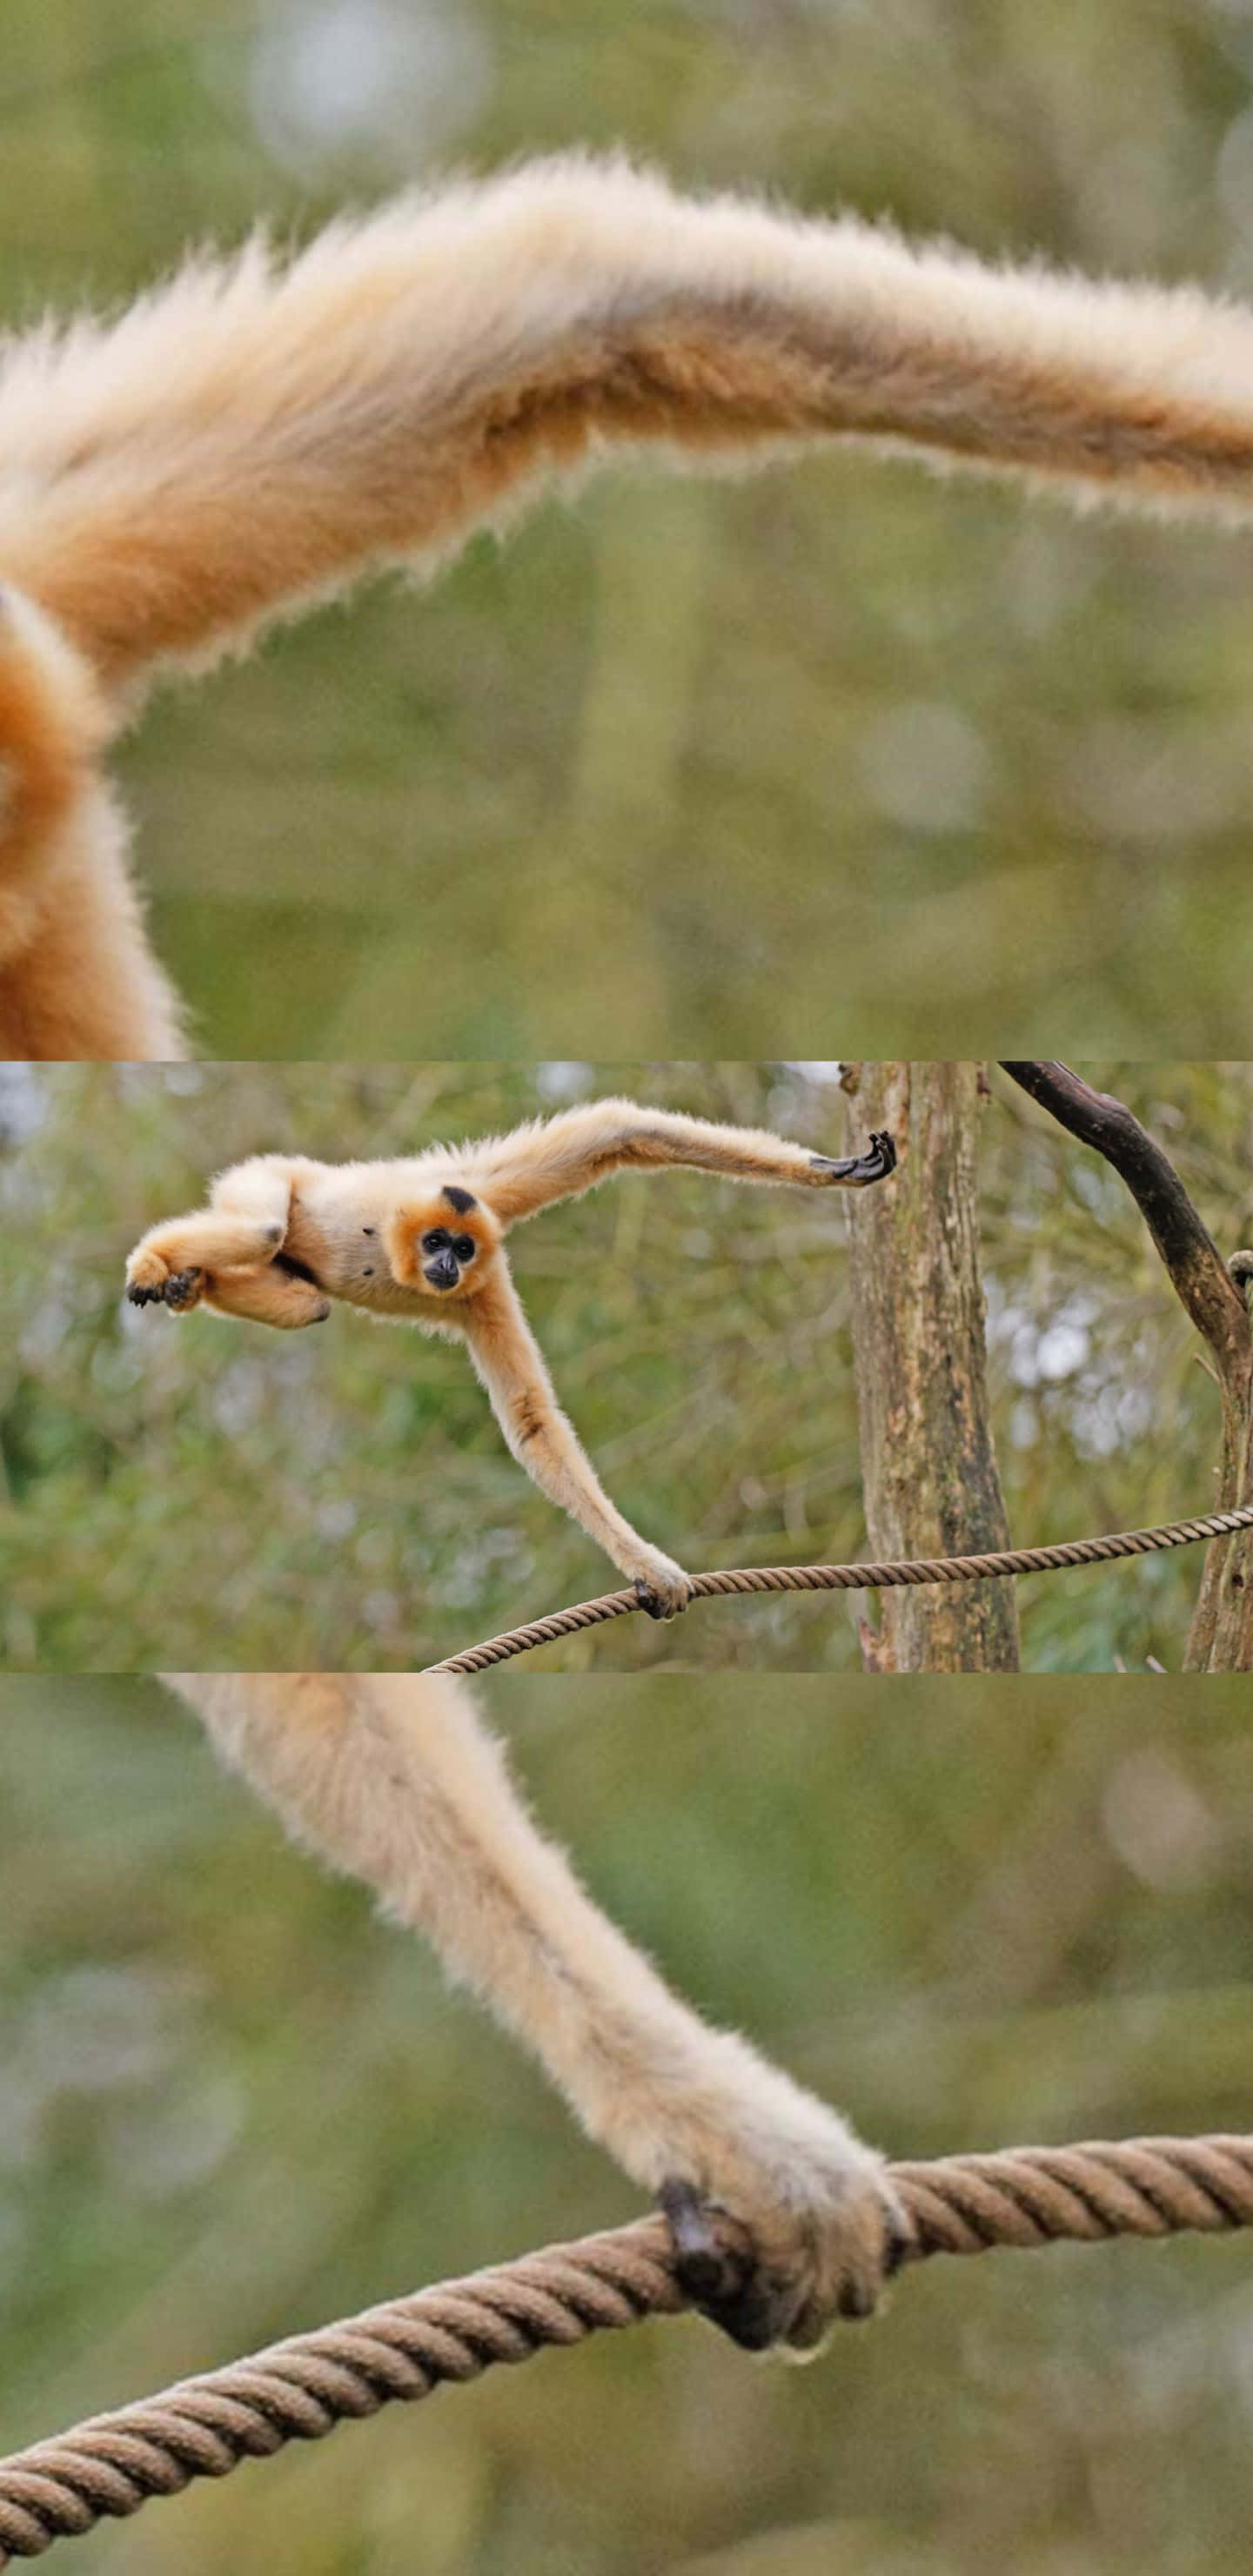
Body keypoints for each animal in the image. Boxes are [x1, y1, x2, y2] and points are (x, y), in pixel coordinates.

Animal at [125, 1100, 897, 1617]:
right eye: (437, 1241)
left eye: (462, 1248)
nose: (446, 1263)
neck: (390, 1244)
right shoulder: (461, 1206)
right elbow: (616, 1130)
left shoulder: (484, 1270)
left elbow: (619, 1134)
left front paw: (833, 1169)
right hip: (270, 1174)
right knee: (263, 1226)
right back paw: (157, 1263)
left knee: (306, 1301)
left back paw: (190, 1284)